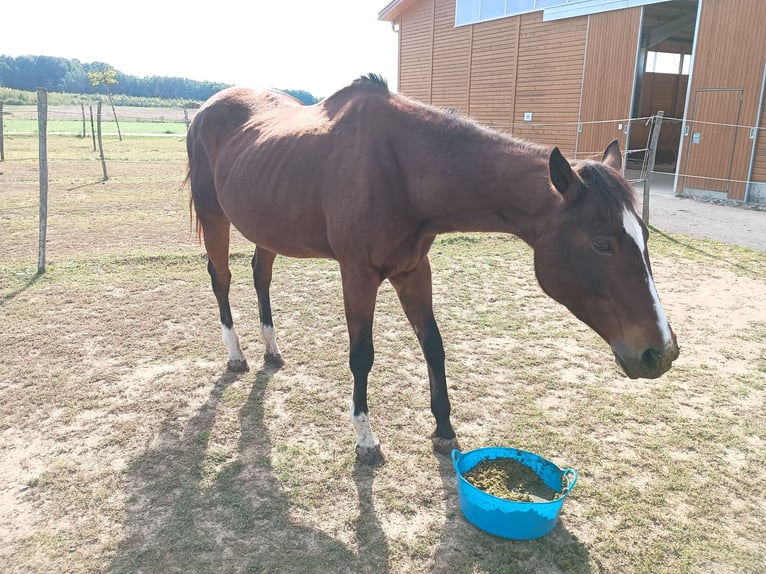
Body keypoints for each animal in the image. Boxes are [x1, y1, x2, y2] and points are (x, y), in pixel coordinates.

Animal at [185, 73, 679, 464]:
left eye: (644, 236)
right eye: (602, 243)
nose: (661, 352)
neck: (400, 167)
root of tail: (206, 109)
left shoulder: (413, 271)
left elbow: (434, 345)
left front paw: (444, 429)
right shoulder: (357, 275)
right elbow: (362, 355)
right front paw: (366, 439)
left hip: (266, 227)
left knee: (260, 275)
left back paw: (271, 350)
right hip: (214, 216)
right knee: (222, 280)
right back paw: (236, 355)